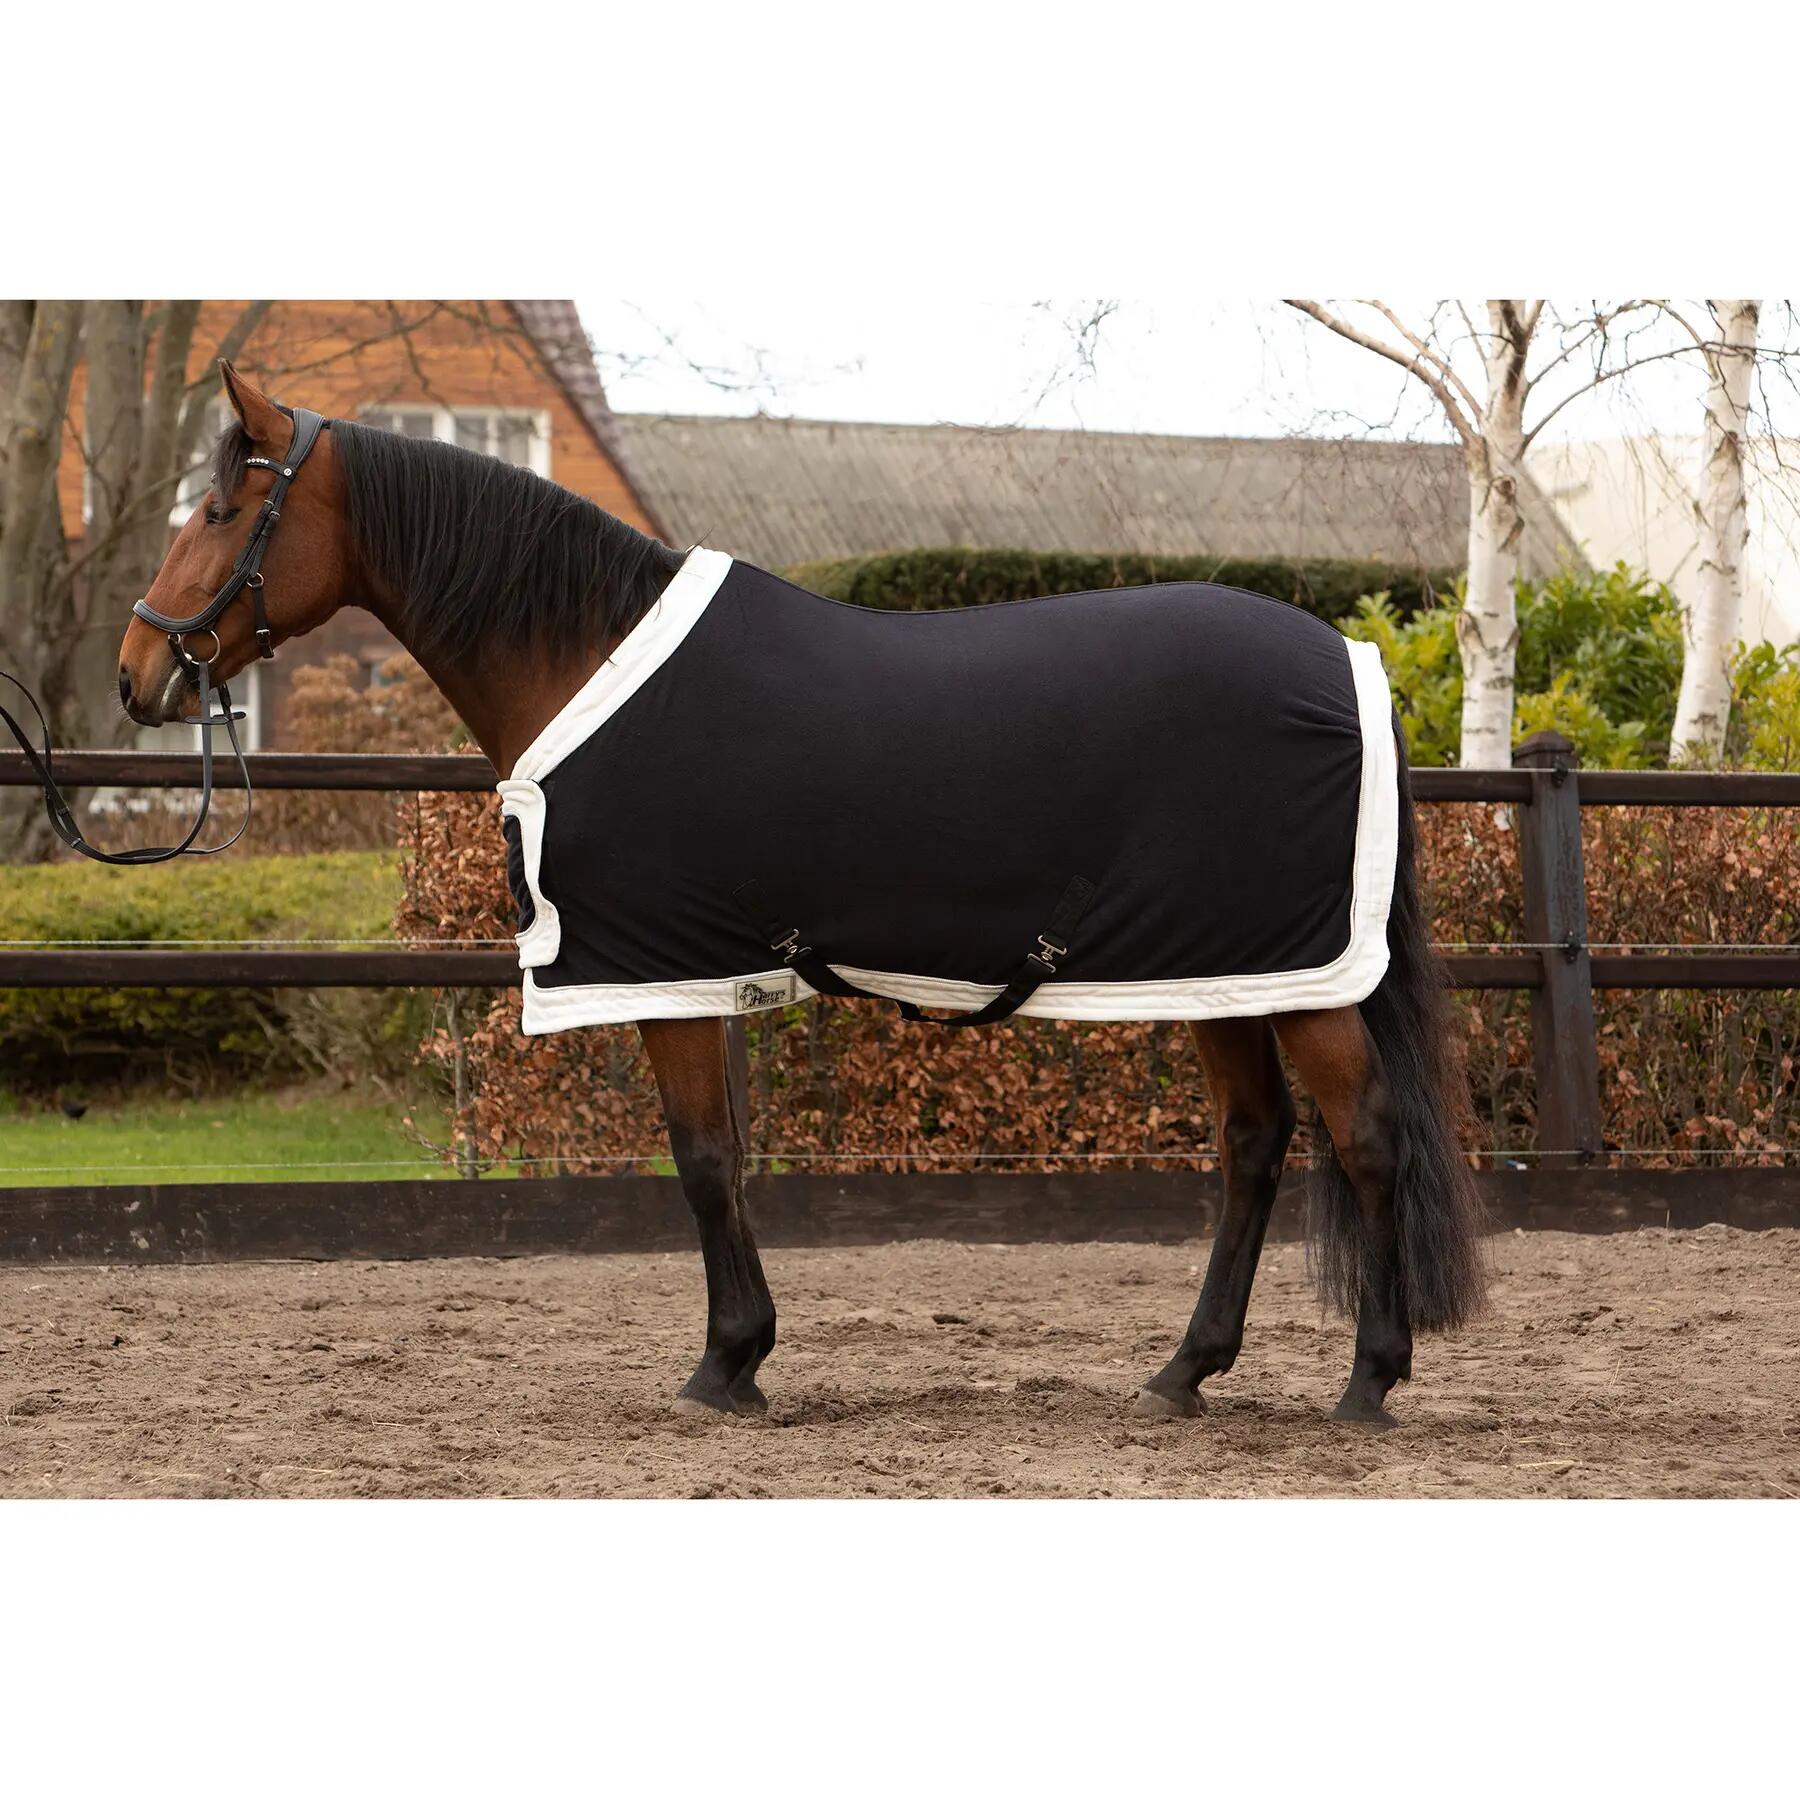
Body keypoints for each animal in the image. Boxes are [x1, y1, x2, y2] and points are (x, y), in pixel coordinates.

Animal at [114, 362, 1485, 1427]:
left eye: (225, 506)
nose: (135, 672)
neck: (584, 654)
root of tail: (1349, 658)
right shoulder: (701, 963)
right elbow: (721, 1154)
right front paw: (743, 1357)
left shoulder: (659, 965)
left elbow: (702, 1158)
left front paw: (725, 1367)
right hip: (1223, 971)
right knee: (1254, 1145)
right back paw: (1182, 1373)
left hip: (1292, 979)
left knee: (1368, 1138)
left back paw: (1369, 1381)